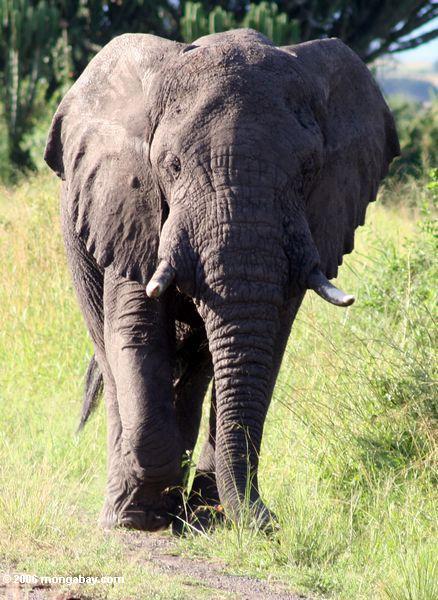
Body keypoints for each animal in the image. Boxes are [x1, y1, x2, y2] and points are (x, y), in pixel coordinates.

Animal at [45, 30, 400, 532]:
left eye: (310, 171)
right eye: (171, 166)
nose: (268, 521)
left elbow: (267, 345)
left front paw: (210, 515)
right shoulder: (131, 209)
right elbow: (136, 331)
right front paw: (145, 515)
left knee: (195, 367)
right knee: (116, 359)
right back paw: (126, 511)